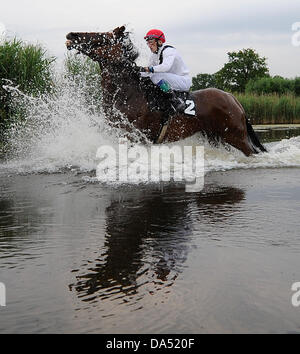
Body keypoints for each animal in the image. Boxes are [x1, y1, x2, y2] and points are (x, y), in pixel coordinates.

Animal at [65, 25, 268, 156]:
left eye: (102, 36)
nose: (71, 35)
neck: (127, 94)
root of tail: (233, 98)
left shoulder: (134, 136)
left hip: (235, 135)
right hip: (215, 136)